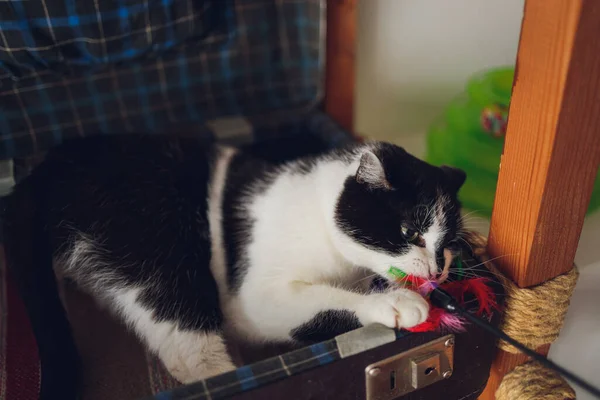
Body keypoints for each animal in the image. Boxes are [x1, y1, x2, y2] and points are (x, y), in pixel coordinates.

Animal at [2, 133, 466, 396]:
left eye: (448, 244)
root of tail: (44, 171)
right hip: (160, 245)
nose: (435, 271)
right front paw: (398, 304)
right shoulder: (253, 299)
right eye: (409, 231)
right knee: (191, 356)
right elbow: (323, 304)